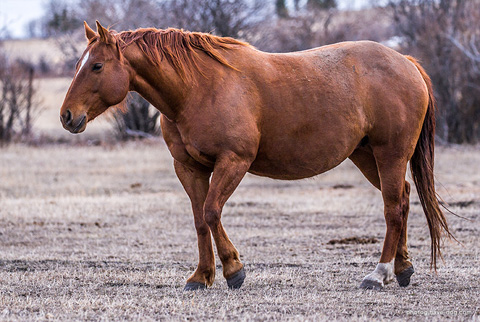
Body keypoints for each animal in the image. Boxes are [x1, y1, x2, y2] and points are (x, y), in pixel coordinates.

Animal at [59, 21, 450, 290]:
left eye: (96, 66)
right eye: (80, 64)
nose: (67, 116)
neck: (196, 88)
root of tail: (407, 62)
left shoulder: (234, 161)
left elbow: (212, 212)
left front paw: (234, 270)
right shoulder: (189, 168)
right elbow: (200, 220)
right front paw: (201, 277)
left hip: (390, 154)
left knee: (393, 208)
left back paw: (378, 274)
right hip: (367, 157)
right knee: (403, 200)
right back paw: (402, 269)